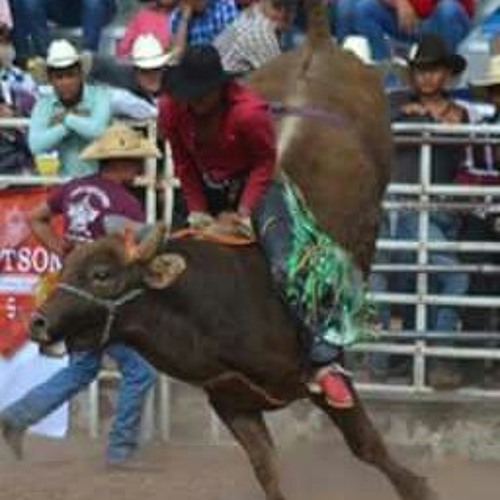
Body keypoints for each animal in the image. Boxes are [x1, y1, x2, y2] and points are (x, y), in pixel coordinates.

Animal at [26, 1, 434, 498]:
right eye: (67, 264)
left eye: (102, 275)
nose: (39, 321)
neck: (213, 308)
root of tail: (316, 42)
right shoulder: (233, 404)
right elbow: (267, 470)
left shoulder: (326, 378)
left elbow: (367, 446)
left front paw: (420, 487)